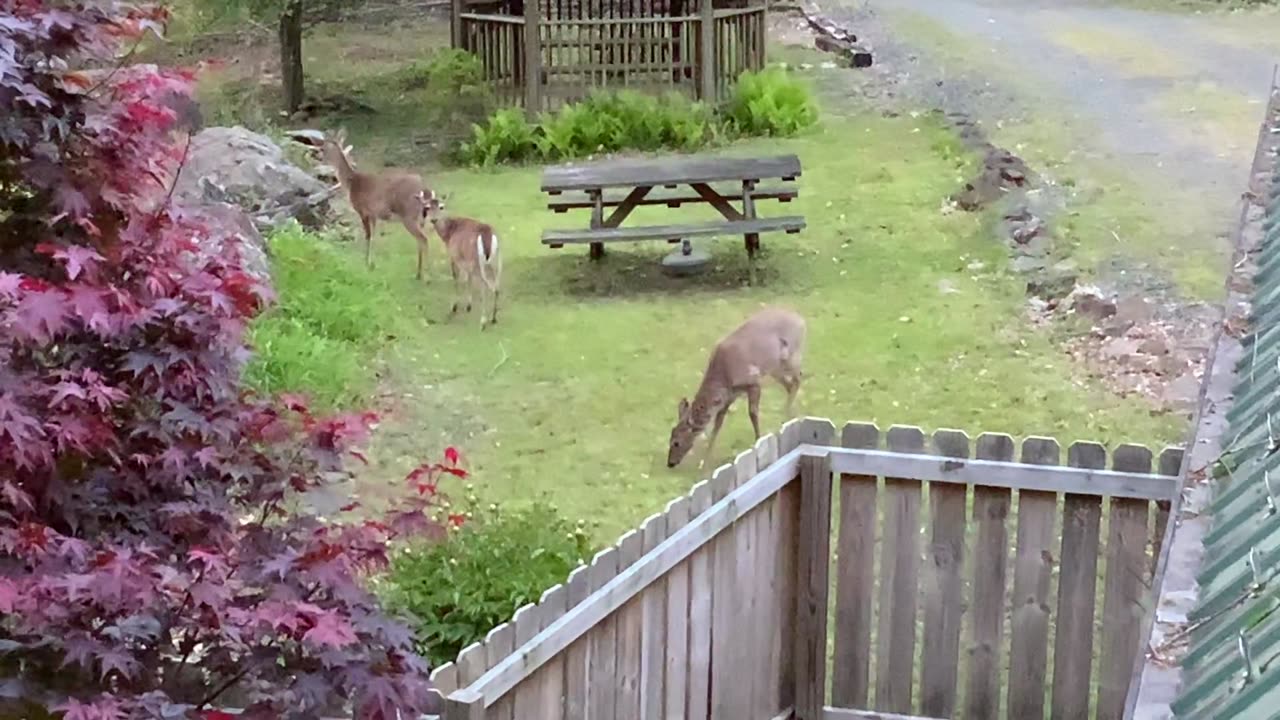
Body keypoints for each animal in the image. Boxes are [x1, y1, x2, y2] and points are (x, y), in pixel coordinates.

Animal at [318, 129, 436, 281]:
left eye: (324, 147)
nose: (320, 157)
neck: (352, 183)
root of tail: (423, 189)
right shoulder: (373, 214)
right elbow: (373, 236)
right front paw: (372, 264)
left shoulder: (363, 210)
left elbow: (368, 236)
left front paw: (366, 263)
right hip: (419, 218)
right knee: (421, 240)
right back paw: (418, 273)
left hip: (409, 215)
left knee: (424, 239)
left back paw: (426, 276)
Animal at [423, 194, 502, 330]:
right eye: (427, 207)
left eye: (441, 206)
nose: (434, 220)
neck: (448, 235)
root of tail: (487, 234)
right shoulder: (465, 261)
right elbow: (467, 279)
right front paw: (468, 305)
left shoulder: (454, 255)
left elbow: (457, 279)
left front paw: (454, 307)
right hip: (496, 260)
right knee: (496, 286)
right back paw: (493, 318)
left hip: (477, 261)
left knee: (485, 285)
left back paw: (483, 321)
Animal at [667, 307, 806, 469]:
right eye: (670, 437)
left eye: (676, 442)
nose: (670, 463)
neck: (724, 378)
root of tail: (801, 319)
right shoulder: (729, 397)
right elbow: (717, 425)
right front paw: (705, 460)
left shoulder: (753, 382)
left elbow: (752, 413)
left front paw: (758, 440)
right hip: (775, 368)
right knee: (790, 384)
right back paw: (788, 415)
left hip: (790, 356)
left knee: (798, 378)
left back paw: (786, 414)